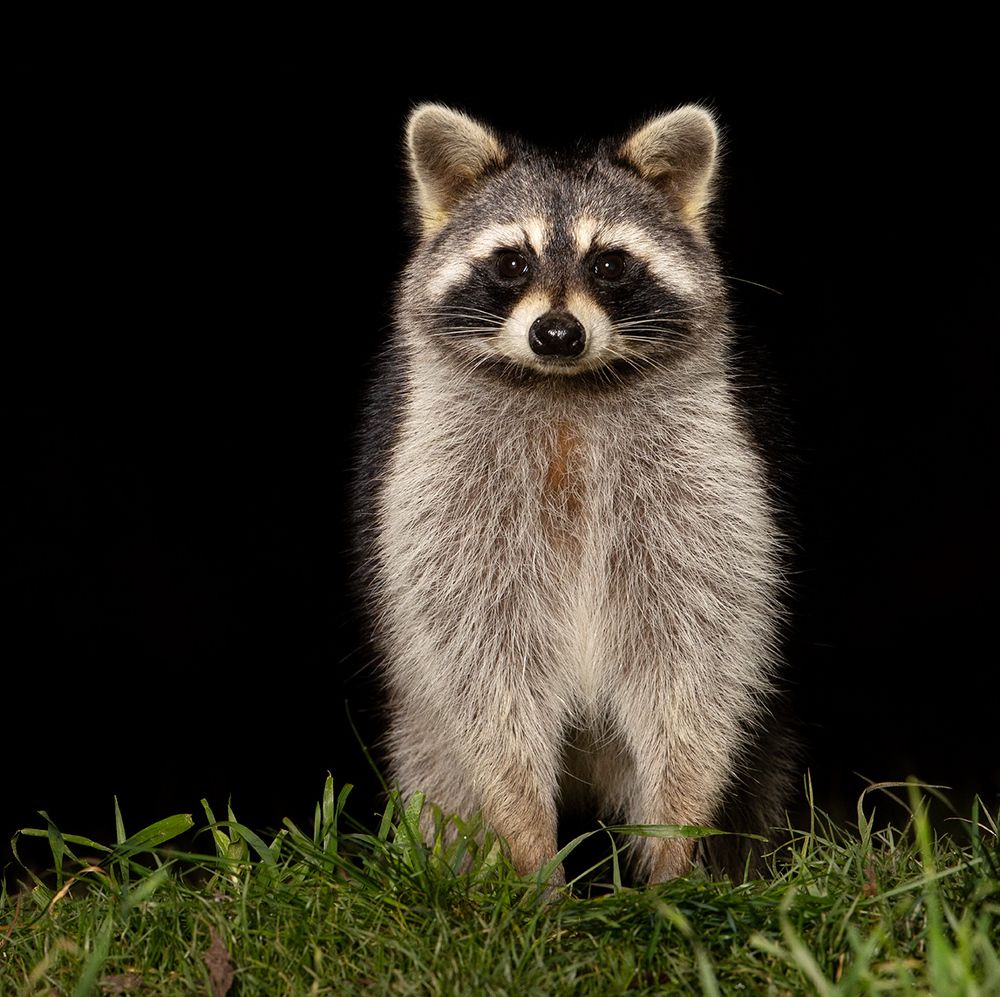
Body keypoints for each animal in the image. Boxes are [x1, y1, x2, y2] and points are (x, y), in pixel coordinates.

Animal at [353, 103, 795, 884]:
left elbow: (696, 657)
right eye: (512, 263)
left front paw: (677, 837)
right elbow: (483, 664)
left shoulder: (708, 475)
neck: (566, 392)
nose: (556, 334)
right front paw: (527, 838)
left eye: (609, 264)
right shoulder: (440, 487)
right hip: (418, 729)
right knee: (437, 766)